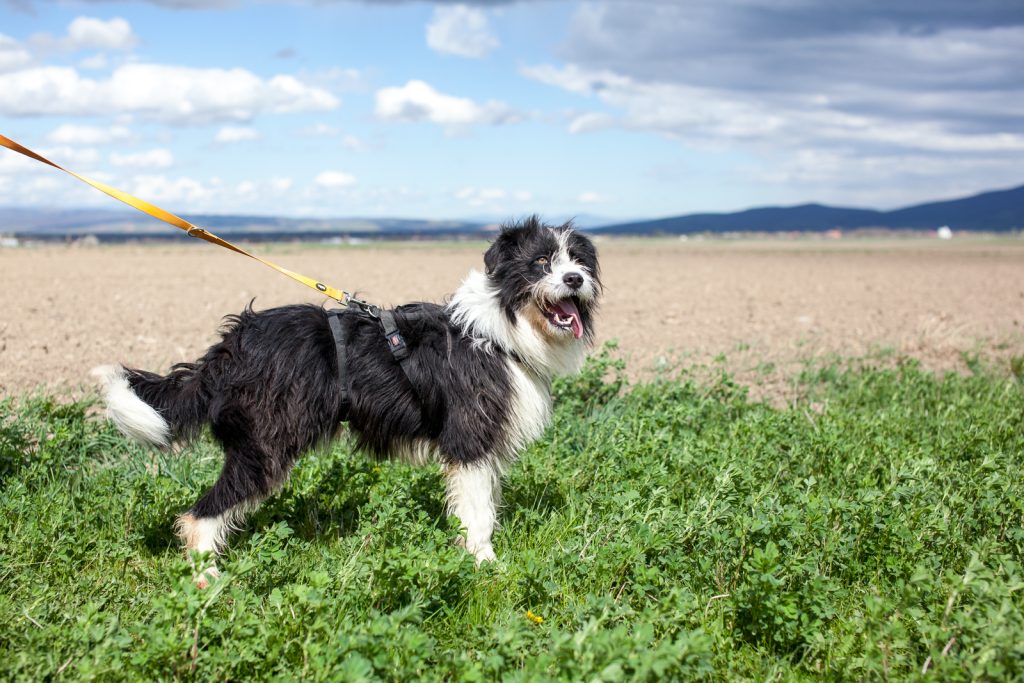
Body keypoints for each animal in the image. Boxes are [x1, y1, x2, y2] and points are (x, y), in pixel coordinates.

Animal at [94, 216, 598, 585]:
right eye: (540, 261)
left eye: (578, 260)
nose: (575, 279)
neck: (500, 331)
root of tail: (234, 342)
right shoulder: (470, 441)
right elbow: (477, 514)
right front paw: (485, 564)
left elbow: (485, 505)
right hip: (266, 446)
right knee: (199, 515)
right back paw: (208, 577)